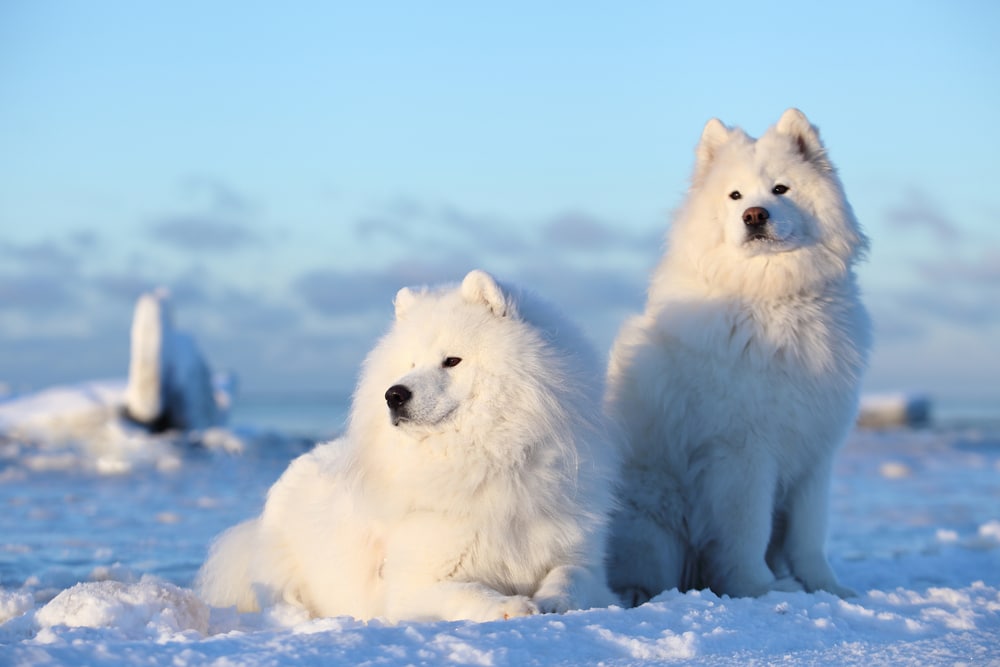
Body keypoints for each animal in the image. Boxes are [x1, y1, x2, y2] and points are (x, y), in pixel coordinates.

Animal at [197, 270, 616, 620]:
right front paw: (512, 606)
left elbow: (570, 576)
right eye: (410, 363)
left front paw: (552, 600)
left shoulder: (581, 557)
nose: (394, 395)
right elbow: (469, 593)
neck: (490, 459)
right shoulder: (414, 585)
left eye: (452, 360)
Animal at [604, 109, 872, 604]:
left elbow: (809, 536)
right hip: (652, 521)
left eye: (781, 189)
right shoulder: (741, 454)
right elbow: (746, 532)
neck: (774, 298)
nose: (755, 215)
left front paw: (827, 590)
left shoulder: (815, 454)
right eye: (735, 195)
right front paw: (759, 589)